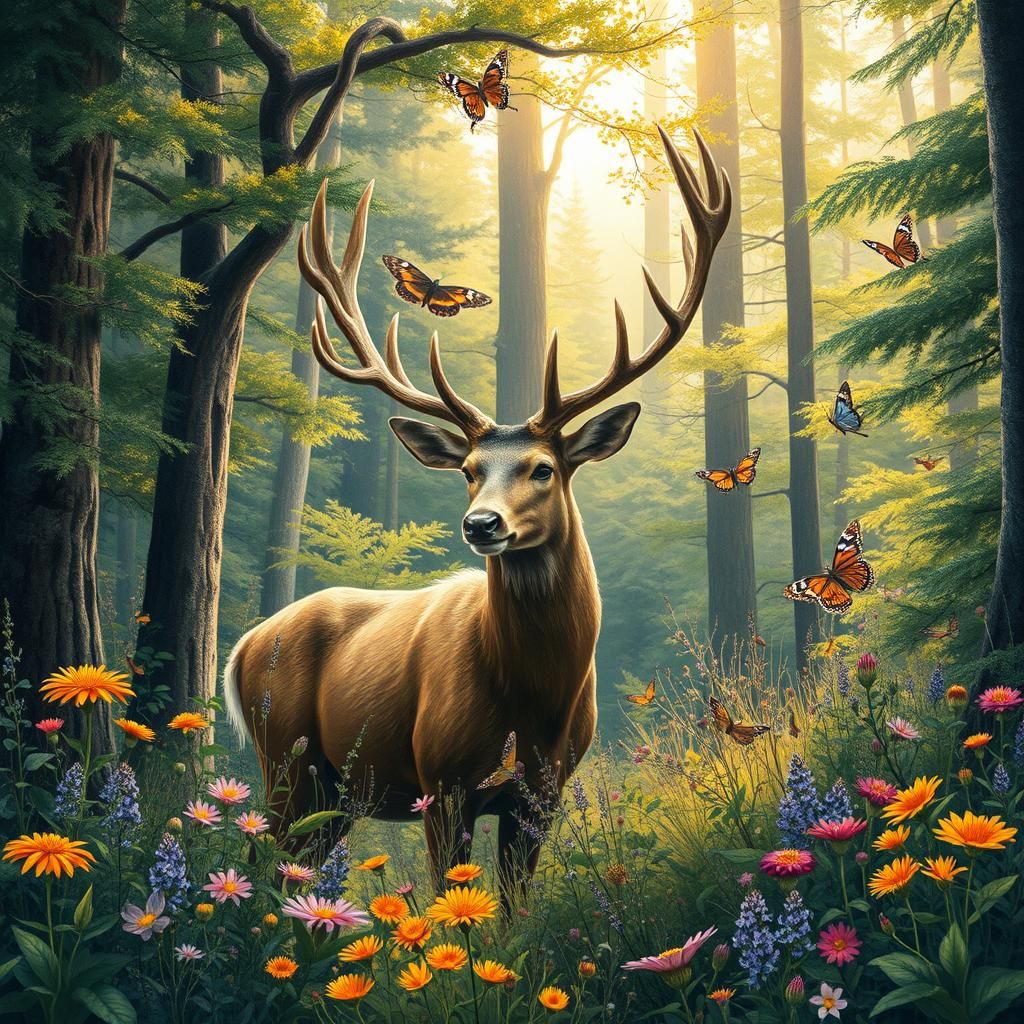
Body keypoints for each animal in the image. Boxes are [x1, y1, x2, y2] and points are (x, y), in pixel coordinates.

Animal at [223, 127, 730, 904]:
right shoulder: (443, 776)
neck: (534, 700)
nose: (481, 525)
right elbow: (449, 901)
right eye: (468, 471)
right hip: (285, 758)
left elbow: (515, 913)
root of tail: (243, 646)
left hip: (334, 792)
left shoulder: (543, 792)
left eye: (544, 468)